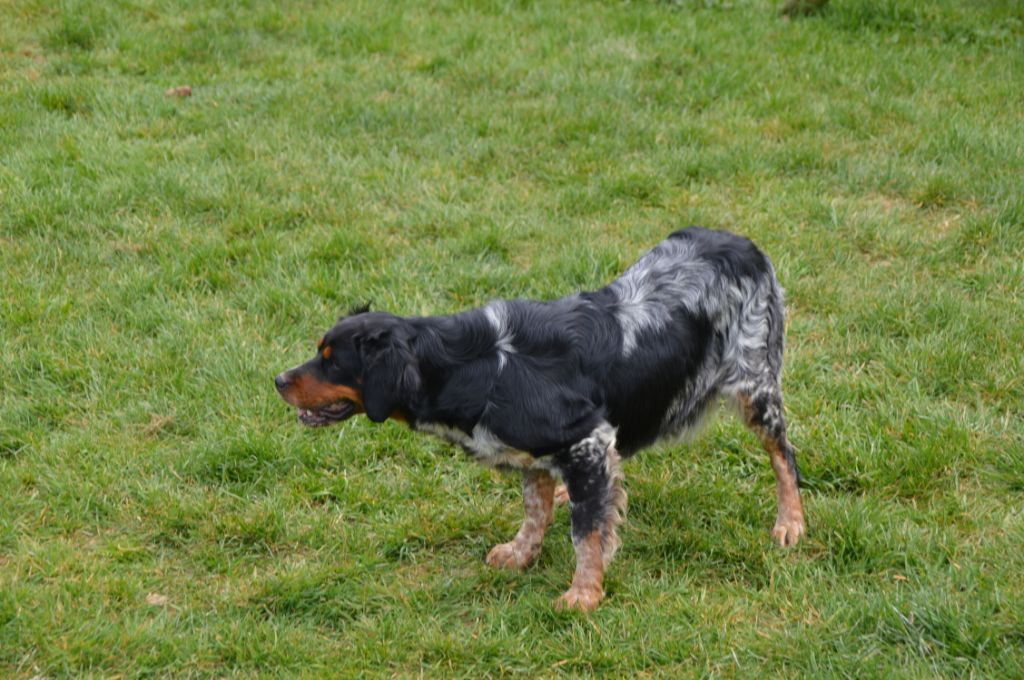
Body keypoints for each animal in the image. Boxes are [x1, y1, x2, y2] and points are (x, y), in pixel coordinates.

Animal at [276, 227, 802, 610]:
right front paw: (521, 554)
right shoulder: (543, 451)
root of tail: (743, 244)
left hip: (756, 387)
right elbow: (536, 512)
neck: (476, 367)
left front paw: (584, 593)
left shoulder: (588, 437)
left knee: (785, 457)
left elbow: (585, 533)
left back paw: (790, 523)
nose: (278, 379)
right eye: (319, 353)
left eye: (332, 361)